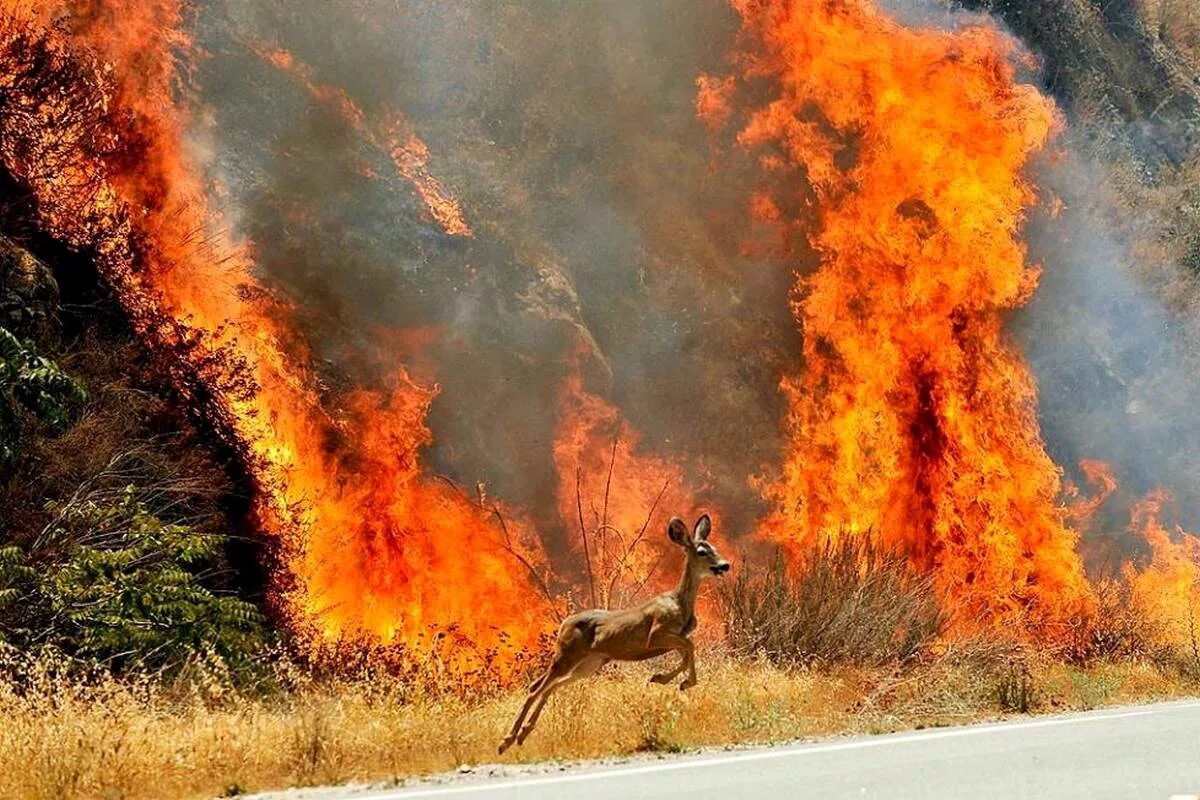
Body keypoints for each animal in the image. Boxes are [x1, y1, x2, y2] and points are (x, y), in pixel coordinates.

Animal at [496, 515, 729, 753]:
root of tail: (563, 625)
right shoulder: (656, 633)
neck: (680, 603)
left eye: (715, 548)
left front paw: (667, 680)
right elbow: (689, 647)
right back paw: (507, 740)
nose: (724, 565)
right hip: (567, 654)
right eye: (701, 551)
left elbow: (687, 652)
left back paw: (522, 734)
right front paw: (677, 681)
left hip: (589, 664)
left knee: (550, 685)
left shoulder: (675, 637)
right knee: (537, 687)